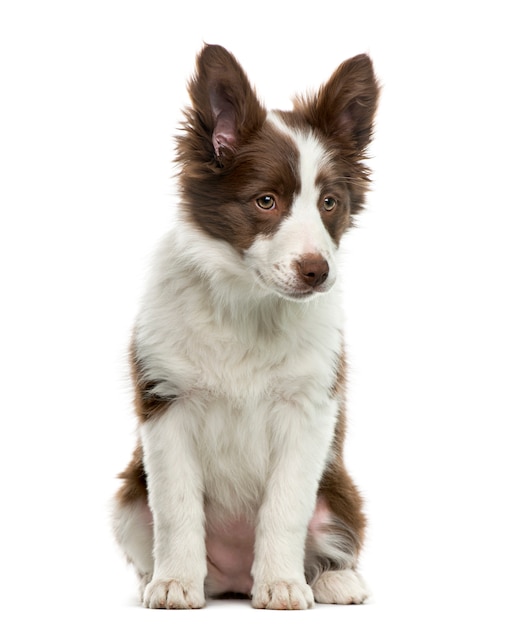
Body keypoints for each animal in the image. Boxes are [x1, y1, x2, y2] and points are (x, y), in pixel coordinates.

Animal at [112, 41, 378, 608]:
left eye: (329, 203)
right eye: (265, 201)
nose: (318, 271)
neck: (249, 304)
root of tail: (233, 579)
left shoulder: (308, 410)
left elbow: (285, 505)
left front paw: (282, 584)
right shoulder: (166, 405)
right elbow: (177, 507)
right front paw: (174, 582)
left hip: (340, 491)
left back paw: (333, 579)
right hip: (126, 497)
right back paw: (159, 579)